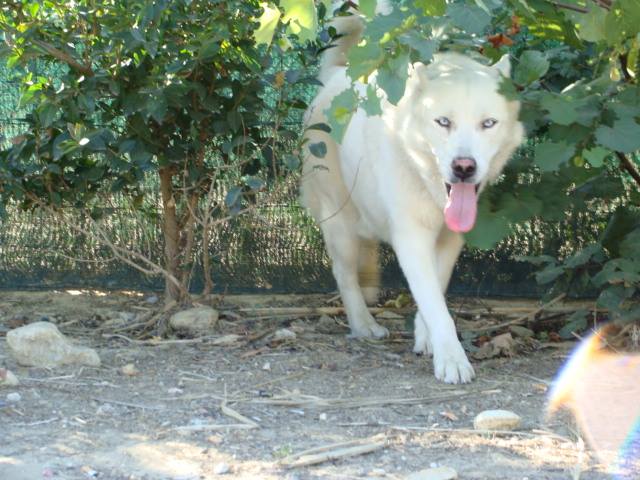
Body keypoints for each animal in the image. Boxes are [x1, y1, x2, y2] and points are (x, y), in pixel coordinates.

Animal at [302, 0, 524, 382]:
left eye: (488, 124)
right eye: (443, 122)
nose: (463, 167)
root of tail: (334, 78)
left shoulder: (449, 239)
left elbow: (436, 288)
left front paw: (427, 338)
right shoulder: (411, 237)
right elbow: (434, 302)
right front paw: (452, 360)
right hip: (339, 223)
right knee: (344, 275)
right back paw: (364, 325)